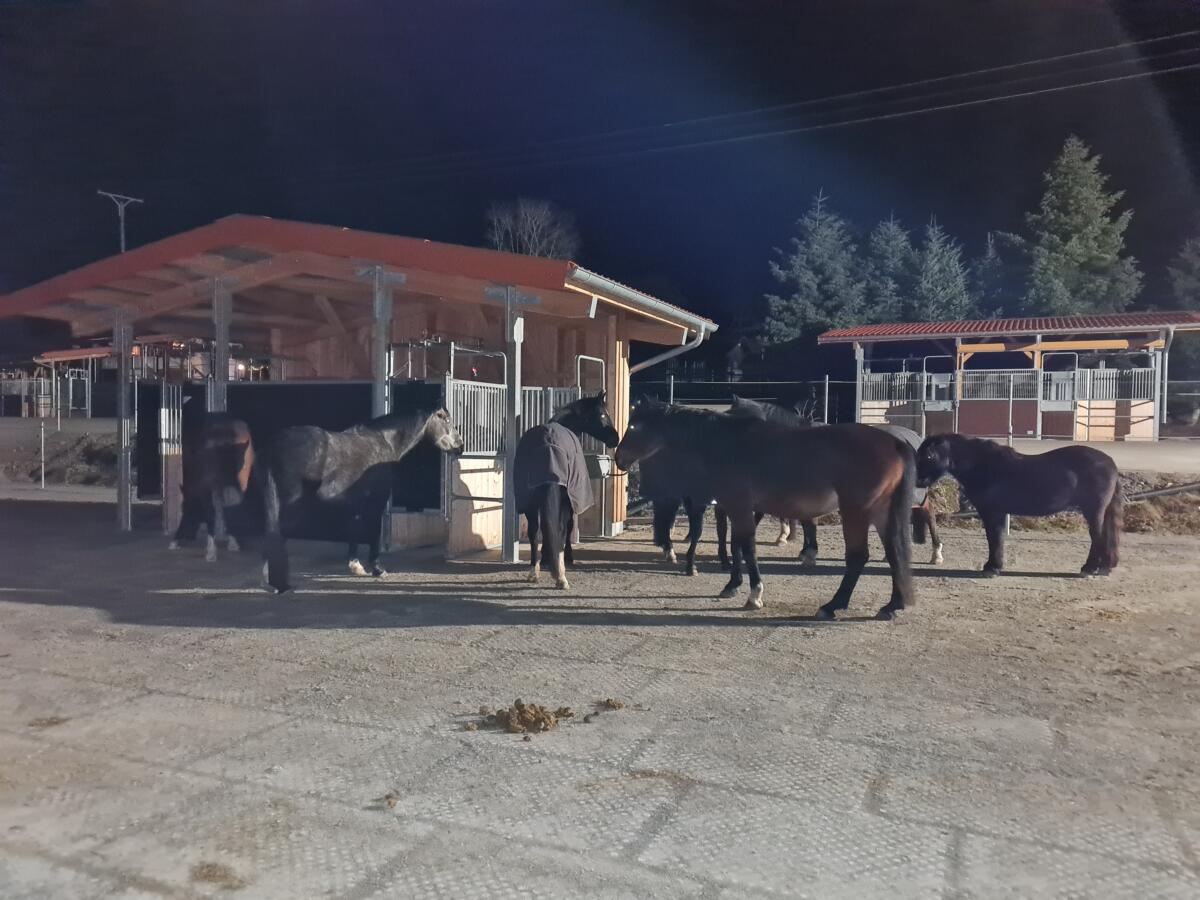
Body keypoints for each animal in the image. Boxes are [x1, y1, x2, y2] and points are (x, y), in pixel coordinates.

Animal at [168, 412, 255, 562]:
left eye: (184, 508)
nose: (187, 535)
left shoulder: (206, 489)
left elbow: (210, 513)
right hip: (239, 482)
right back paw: (233, 542)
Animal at [261, 407, 464, 593]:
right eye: (446, 420)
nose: (460, 446)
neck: (385, 442)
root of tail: (274, 445)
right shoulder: (376, 502)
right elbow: (373, 532)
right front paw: (378, 569)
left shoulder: (356, 503)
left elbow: (355, 532)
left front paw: (356, 566)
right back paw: (279, 583)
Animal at [515, 392, 620, 590]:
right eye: (603, 414)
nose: (615, 438)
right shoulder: (571, 500)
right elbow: (569, 527)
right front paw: (565, 557)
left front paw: (546, 558)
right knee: (561, 528)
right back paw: (560, 575)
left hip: (530, 501)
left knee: (534, 532)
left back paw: (535, 571)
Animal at [616, 399, 916, 620]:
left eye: (633, 426)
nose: (619, 458)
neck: (723, 443)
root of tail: (895, 443)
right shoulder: (736, 507)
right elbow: (736, 544)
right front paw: (733, 585)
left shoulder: (738, 506)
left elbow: (747, 546)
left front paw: (754, 594)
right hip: (881, 512)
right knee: (894, 552)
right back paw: (892, 606)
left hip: (856, 512)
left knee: (858, 557)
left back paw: (832, 606)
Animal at [916, 433, 1121, 577]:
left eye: (929, 456)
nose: (917, 481)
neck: (983, 465)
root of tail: (1110, 462)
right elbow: (995, 539)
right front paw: (993, 566)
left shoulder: (992, 513)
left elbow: (994, 538)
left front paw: (992, 568)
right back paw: (1104, 568)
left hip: (1093, 510)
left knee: (1097, 536)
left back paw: (1089, 568)